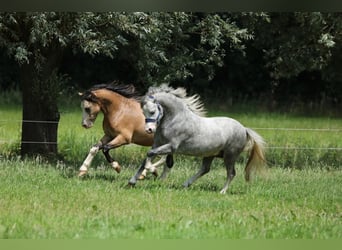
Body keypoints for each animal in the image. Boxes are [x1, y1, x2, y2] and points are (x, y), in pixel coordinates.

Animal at [130, 85, 266, 194]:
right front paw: (132, 181)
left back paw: (222, 191)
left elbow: (150, 154)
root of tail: (244, 129)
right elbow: (147, 158)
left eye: (152, 111)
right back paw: (186, 184)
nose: (149, 130)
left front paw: (152, 170)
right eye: (143, 112)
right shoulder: (157, 144)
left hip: (230, 155)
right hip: (210, 154)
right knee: (205, 169)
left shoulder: (171, 146)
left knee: (231, 173)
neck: (175, 119)